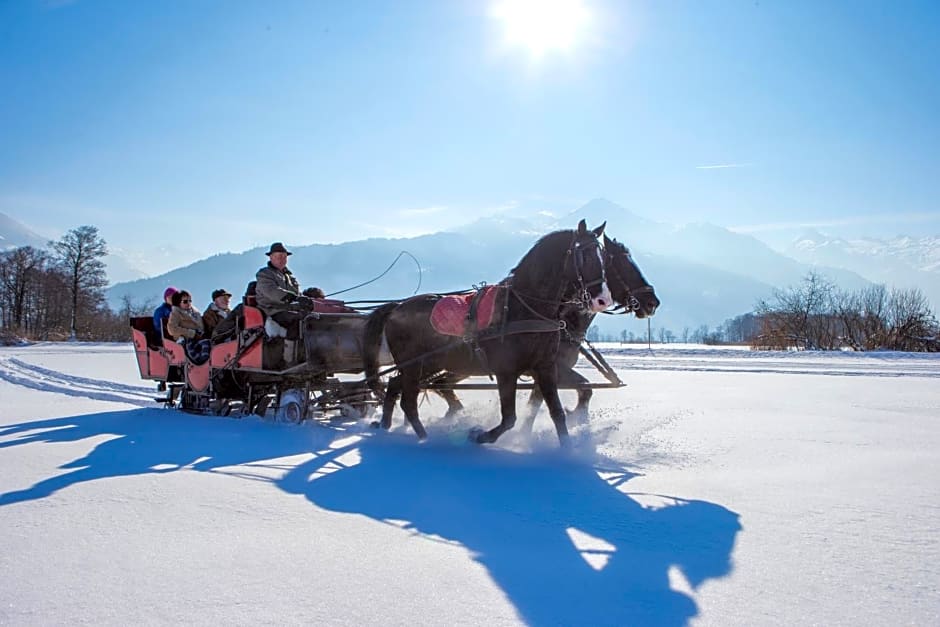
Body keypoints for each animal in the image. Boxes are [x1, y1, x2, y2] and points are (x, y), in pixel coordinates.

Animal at [360, 222, 608, 446]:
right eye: (585, 255)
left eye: (603, 256)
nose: (602, 299)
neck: (523, 308)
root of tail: (397, 307)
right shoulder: (506, 371)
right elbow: (509, 418)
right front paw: (479, 435)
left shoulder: (546, 367)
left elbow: (557, 413)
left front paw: (568, 449)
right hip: (413, 366)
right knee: (408, 402)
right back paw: (423, 437)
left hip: (425, 365)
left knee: (395, 386)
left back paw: (386, 425)